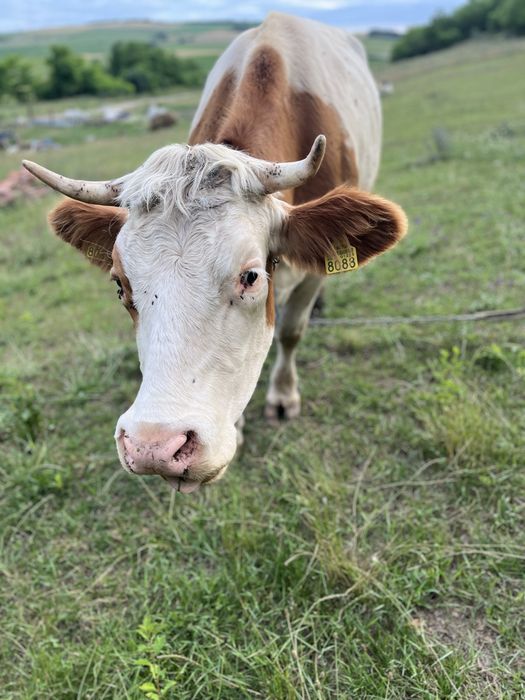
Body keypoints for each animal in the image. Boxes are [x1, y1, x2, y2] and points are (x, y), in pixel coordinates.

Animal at [23, 13, 407, 493]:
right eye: (119, 285)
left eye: (251, 277)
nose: (154, 447)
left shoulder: (312, 273)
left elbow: (291, 331)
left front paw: (283, 396)